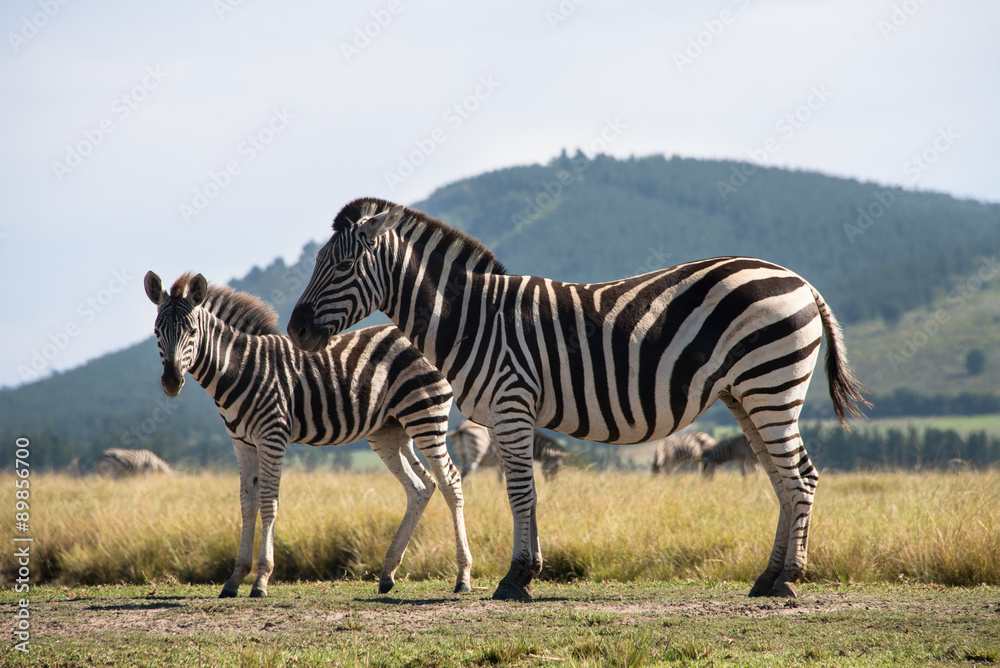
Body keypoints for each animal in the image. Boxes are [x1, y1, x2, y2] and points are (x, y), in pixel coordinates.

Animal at [144, 271, 472, 598]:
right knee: (421, 487)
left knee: (450, 482)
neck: (240, 369)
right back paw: (388, 573)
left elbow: (268, 501)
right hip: (390, 431)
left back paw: (462, 576)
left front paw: (261, 580)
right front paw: (235, 579)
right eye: (157, 331)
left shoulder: (272, 435)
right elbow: (247, 503)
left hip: (425, 415)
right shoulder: (242, 443)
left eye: (192, 331)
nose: (171, 381)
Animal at [287, 197, 869, 600]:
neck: (476, 317)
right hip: (746, 395)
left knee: (801, 477)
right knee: (781, 480)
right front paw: (528, 571)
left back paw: (789, 580)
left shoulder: (512, 404)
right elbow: (522, 493)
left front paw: (516, 578)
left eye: (341, 267)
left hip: (770, 385)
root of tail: (799, 280)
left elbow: (520, 494)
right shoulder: (508, 416)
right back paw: (766, 577)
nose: (295, 330)